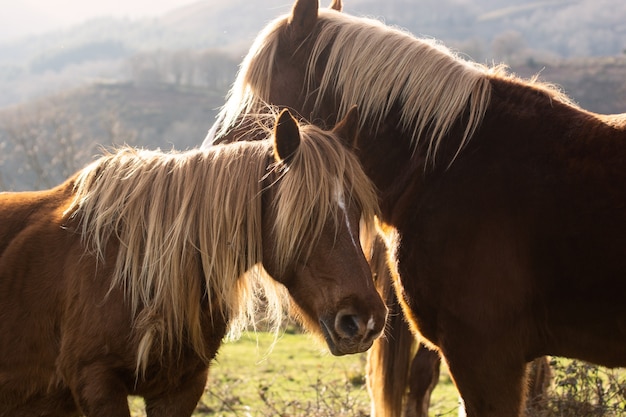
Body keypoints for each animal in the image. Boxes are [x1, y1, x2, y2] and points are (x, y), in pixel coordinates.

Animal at [0, 108, 388, 416]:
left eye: (357, 210)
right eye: (308, 214)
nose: (364, 320)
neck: (136, 268)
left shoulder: (181, 386)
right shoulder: (96, 382)